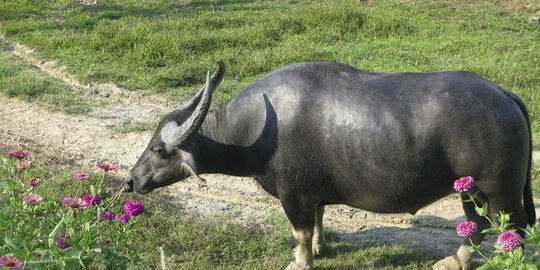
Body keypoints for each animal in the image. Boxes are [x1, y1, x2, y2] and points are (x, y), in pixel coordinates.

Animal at [124, 61, 532, 270]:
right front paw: (319, 248)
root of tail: (504, 95)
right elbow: (318, 221)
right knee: (482, 226)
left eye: (159, 149)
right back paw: (456, 261)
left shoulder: (293, 194)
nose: (132, 180)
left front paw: (301, 261)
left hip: (494, 189)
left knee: (509, 229)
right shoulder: (312, 193)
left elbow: (300, 230)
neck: (254, 128)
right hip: (471, 189)